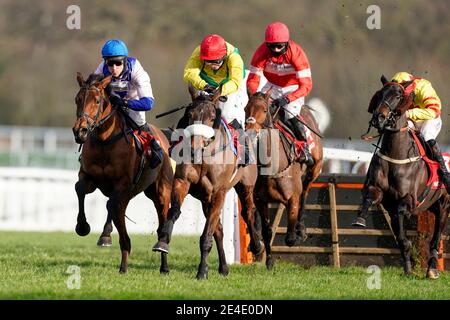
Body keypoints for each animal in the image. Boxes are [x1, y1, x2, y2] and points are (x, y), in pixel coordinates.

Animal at [73, 72, 173, 272]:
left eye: (97, 100)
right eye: (77, 99)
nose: (80, 131)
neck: (105, 141)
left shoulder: (124, 184)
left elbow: (113, 207)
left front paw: (124, 263)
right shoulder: (88, 177)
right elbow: (79, 189)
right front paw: (82, 226)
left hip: (160, 192)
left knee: (160, 224)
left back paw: (163, 259)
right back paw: (105, 236)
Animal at [153, 86, 262, 278]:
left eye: (212, 117)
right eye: (190, 114)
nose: (194, 147)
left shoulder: (219, 192)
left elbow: (206, 235)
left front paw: (202, 271)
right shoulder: (182, 182)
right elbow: (174, 212)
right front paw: (163, 241)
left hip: (245, 186)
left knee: (248, 212)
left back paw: (256, 247)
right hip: (206, 199)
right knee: (218, 230)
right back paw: (224, 267)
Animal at [244, 91, 322, 268]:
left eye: (264, 110)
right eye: (245, 109)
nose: (250, 133)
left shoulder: (292, 198)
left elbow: (290, 238)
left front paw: (297, 234)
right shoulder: (261, 200)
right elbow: (267, 231)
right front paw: (269, 260)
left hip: (314, 169)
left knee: (305, 193)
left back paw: (301, 228)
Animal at [354, 75, 448, 278]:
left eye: (398, 96)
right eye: (380, 94)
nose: (379, 117)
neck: (396, 154)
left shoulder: (408, 200)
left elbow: (401, 215)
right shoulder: (381, 194)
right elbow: (370, 198)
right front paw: (360, 219)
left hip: (444, 206)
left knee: (436, 238)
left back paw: (432, 269)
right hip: (432, 206)